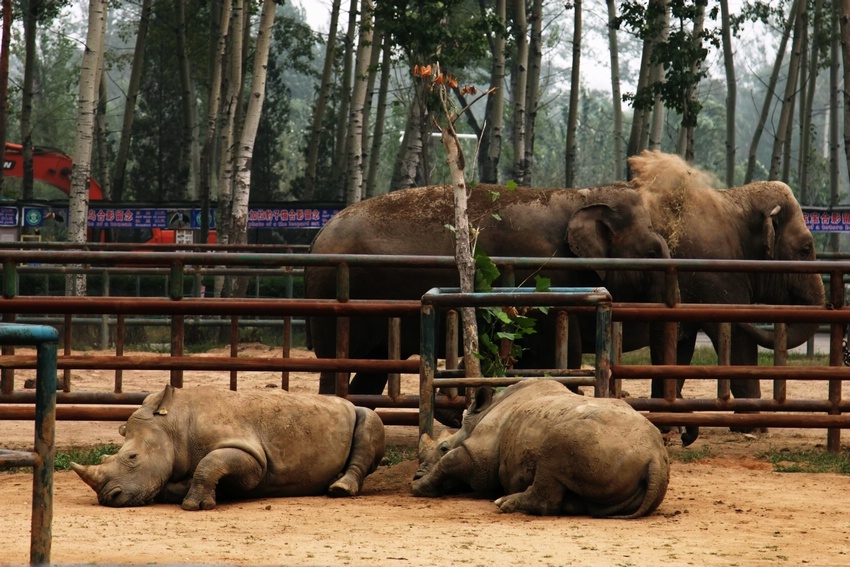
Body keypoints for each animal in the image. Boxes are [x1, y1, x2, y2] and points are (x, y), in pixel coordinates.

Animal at [72, 385, 386, 510]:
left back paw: (339, 488)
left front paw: (195, 505)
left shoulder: (254, 458)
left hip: (359, 414)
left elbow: (211, 463)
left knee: (369, 419)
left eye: (133, 457)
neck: (173, 424)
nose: (107, 498)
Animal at [304, 182, 671, 404]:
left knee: (372, 369)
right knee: (333, 365)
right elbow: (561, 350)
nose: (675, 436)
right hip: (331, 298)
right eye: (652, 252)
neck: (579, 195)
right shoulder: (541, 276)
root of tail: (318, 236)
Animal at [411, 379, 669, 518]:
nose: (416, 474)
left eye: (443, 447)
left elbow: (449, 462)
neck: (476, 419)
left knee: (555, 446)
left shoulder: (479, 458)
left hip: (595, 440)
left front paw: (418, 488)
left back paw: (505, 503)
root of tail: (655, 458)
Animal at [628, 151, 826, 442]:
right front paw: (754, 427)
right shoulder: (715, 275)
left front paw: (669, 426)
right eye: (805, 249)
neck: (737, 198)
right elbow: (735, 335)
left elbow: (680, 344)